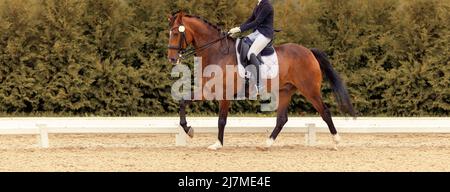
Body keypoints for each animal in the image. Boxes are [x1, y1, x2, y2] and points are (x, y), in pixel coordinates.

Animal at [166, 11, 356, 151]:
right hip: (285, 91)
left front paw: (217, 144)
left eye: (175, 33)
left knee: (325, 112)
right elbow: (183, 102)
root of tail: (309, 52)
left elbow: (221, 120)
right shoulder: (208, 90)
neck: (217, 52)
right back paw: (267, 143)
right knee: (282, 119)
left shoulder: (224, 93)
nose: (172, 59)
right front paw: (189, 130)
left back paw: (336, 142)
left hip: (309, 90)